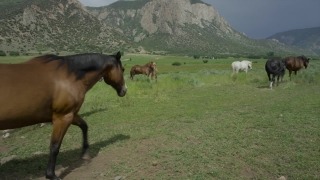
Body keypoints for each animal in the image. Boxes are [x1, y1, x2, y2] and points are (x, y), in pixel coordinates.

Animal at [0, 51, 127, 179]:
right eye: (122, 69)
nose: (124, 90)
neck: (68, 77)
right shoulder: (62, 117)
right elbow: (55, 146)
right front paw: (51, 175)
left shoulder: (70, 114)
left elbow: (84, 126)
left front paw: (85, 153)